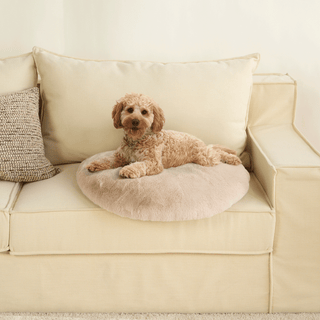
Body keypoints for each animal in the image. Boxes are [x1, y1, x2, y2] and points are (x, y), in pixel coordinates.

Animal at [86, 92, 241, 179]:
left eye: (144, 112)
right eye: (130, 109)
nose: (135, 121)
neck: (138, 139)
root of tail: (200, 141)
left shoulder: (153, 163)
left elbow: (139, 165)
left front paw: (128, 170)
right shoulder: (121, 156)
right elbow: (108, 160)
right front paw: (95, 164)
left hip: (205, 158)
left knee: (218, 152)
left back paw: (233, 159)